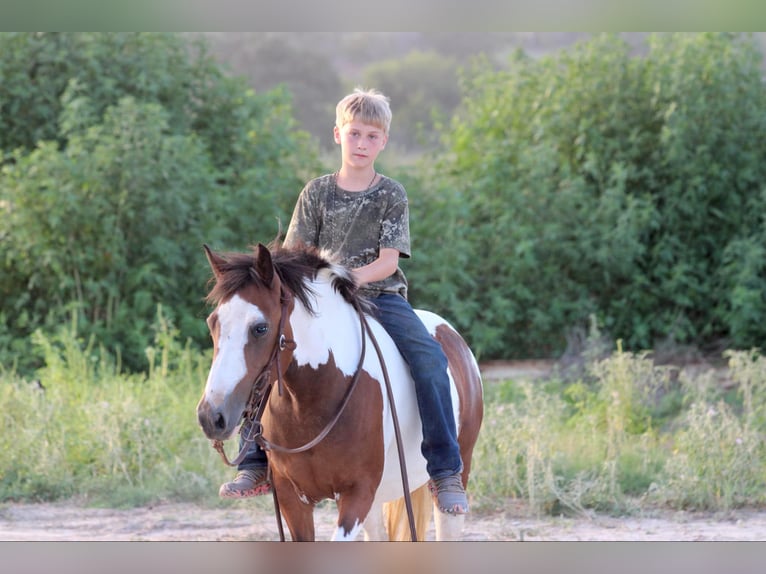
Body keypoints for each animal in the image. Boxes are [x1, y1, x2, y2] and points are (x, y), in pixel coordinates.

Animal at [196, 242, 484, 541]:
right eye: (212, 323)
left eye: (260, 328)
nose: (211, 417)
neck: (311, 403)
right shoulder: (290, 497)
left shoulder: (358, 493)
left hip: (457, 469)